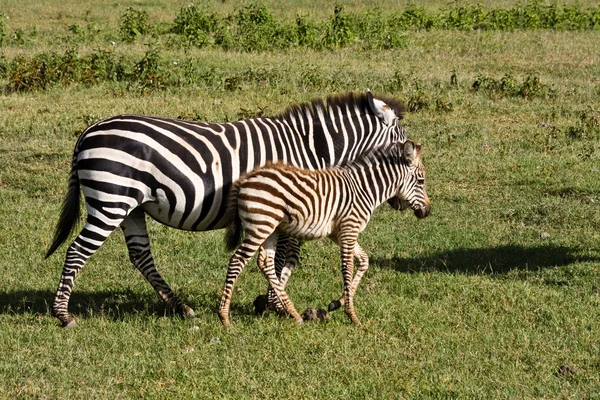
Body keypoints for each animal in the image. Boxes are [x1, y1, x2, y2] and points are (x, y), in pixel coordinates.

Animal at [44, 89, 406, 326]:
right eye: (405, 145)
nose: (403, 204)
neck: (308, 148)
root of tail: (88, 132)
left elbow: (280, 257)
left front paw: (271, 301)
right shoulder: (290, 205)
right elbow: (287, 256)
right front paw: (277, 304)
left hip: (132, 206)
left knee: (140, 255)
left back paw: (181, 307)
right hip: (112, 200)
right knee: (77, 250)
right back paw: (63, 314)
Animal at [220, 140, 432, 324]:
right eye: (421, 181)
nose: (427, 212)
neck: (365, 190)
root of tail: (246, 179)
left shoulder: (338, 234)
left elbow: (364, 261)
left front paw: (337, 303)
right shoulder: (349, 229)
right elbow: (348, 268)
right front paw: (352, 315)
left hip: (270, 228)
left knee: (265, 262)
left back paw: (293, 312)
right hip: (261, 225)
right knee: (237, 260)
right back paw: (224, 318)